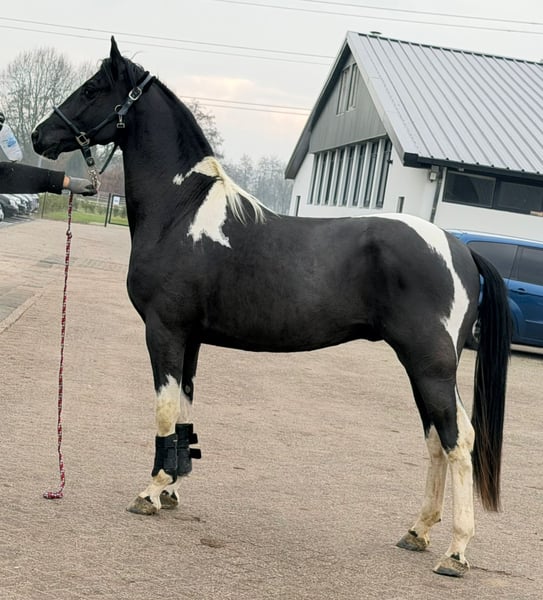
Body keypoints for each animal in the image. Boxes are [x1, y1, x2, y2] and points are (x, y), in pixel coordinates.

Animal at [32, 37, 511, 578]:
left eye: (93, 88)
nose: (39, 135)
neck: (182, 212)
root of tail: (458, 247)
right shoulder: (191, 338)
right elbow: (184, 409)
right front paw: (173, 487)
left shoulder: (165, 330)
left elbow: (164, 408)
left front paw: (151, 491)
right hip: (419, 367)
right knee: (434, 438)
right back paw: (418, 531)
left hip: (431, 365)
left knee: (457, 440)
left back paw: (456, 551)